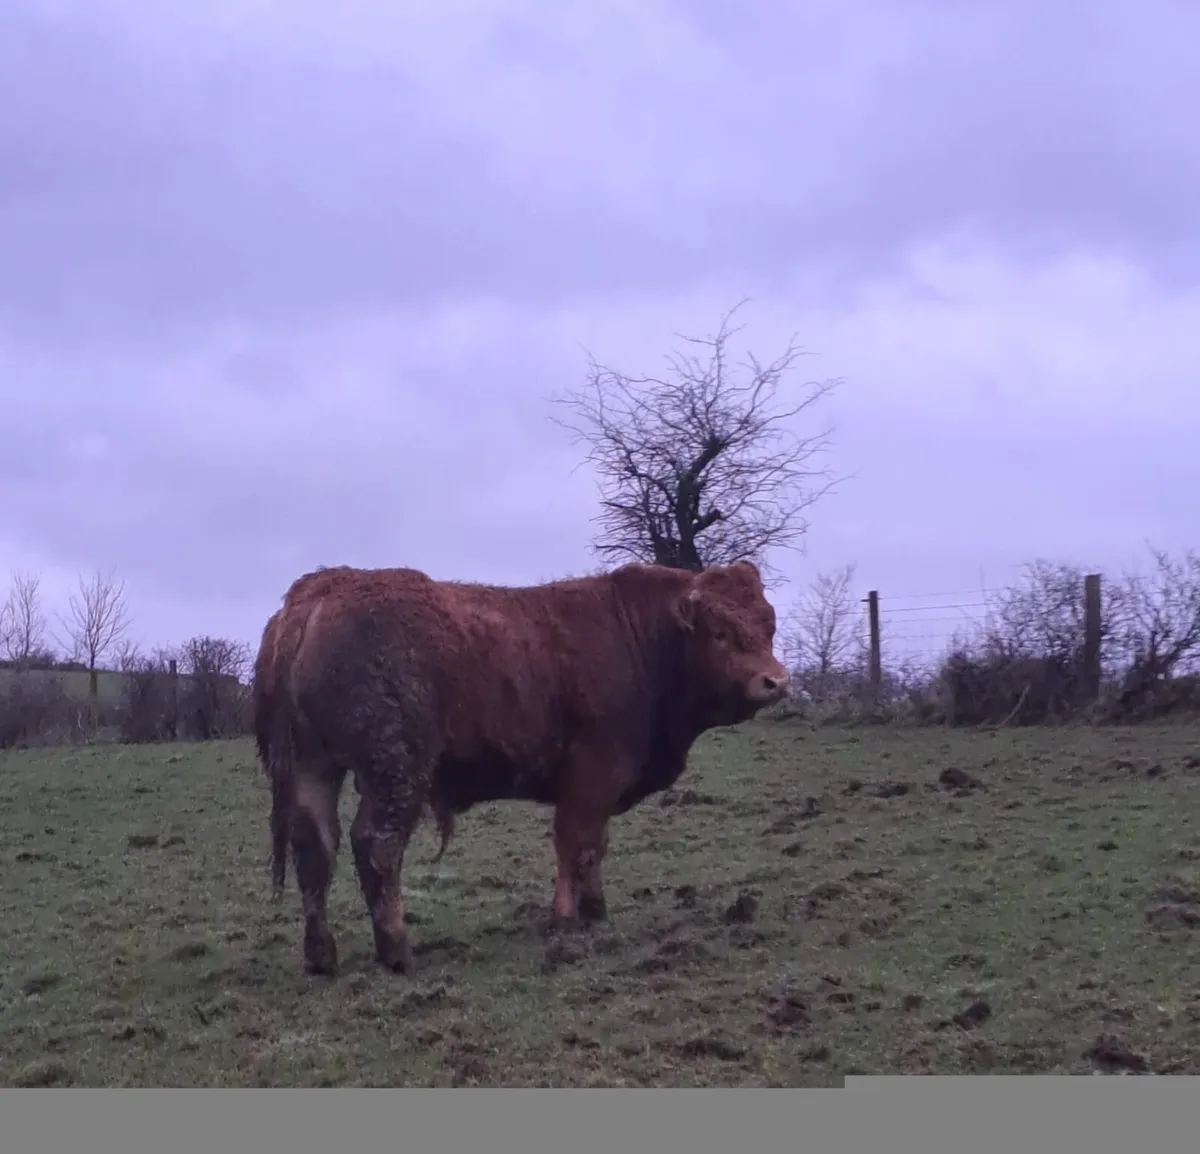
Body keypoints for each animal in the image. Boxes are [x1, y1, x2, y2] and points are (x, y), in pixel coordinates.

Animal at [253, 558, 790, 978]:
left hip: (314, 769)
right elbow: (575, 846)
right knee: (376, 846)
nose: (776, 682)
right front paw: (566, 919)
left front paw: (596, 911)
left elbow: (594, 847)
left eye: (768, 625)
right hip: (396, 770)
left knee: (315, 848)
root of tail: (319, 590)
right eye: (720, 632)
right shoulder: (593, 776)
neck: (639, 639)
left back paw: (321, 955)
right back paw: (397, 950)